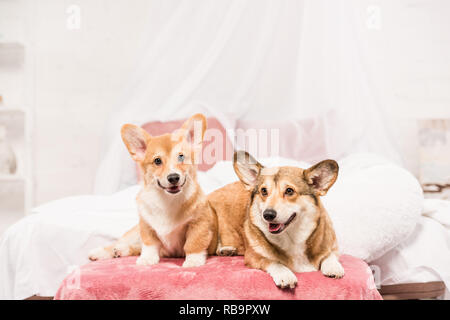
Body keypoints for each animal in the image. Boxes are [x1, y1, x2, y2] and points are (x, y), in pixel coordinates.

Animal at [88, 114, 218, 268]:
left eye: (181, 157)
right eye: (157, 161)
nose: (173, 177)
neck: (168, 201)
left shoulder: (198, 223)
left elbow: (194, 243)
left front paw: (193, 260)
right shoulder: (146, 226)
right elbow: (149, 245)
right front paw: (147, 259)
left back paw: (119, 251)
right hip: (133, 233)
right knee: (122, 242)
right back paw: (102, 251)